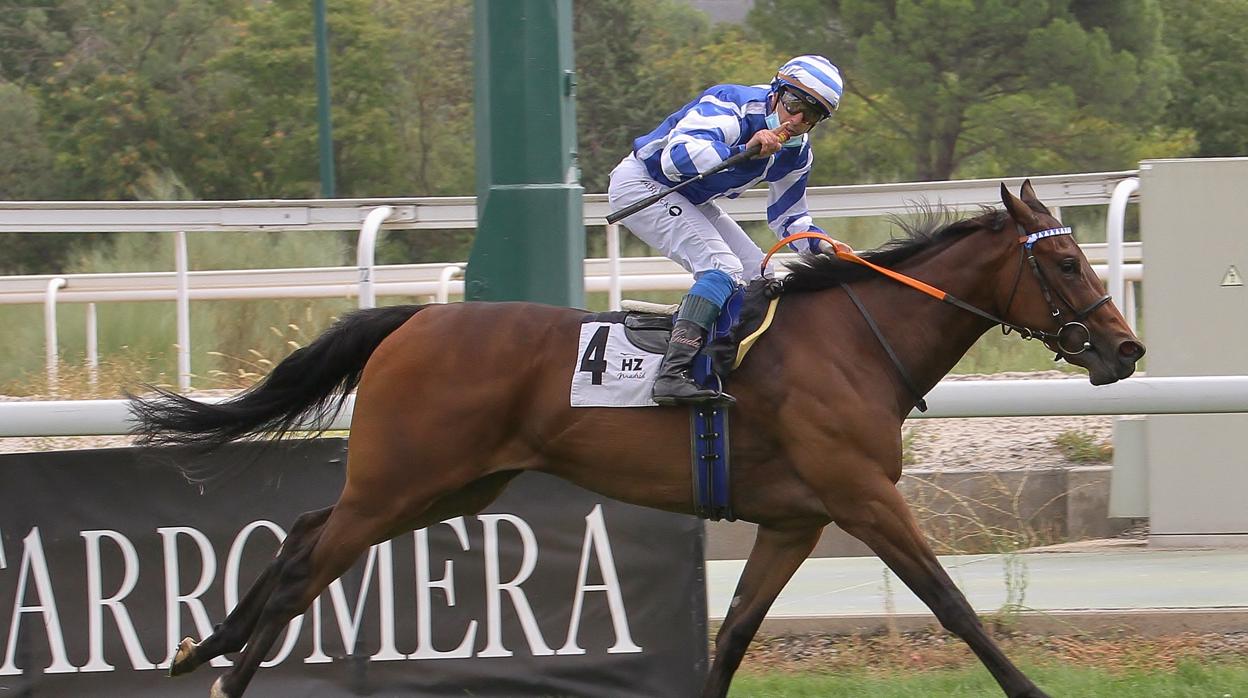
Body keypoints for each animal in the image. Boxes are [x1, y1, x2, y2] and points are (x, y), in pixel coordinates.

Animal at [131, 183, 1143, 694]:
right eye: (1064, 260)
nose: (1126, 348)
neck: (855, 341)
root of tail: (416, 318)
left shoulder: (796, 521)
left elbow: (733, 635)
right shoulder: (862, 496)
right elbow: (956, 606)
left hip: (445, 486)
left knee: (304, 535)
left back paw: (204, 650)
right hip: (403, 480)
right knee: (307, 563)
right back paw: (220, 671)